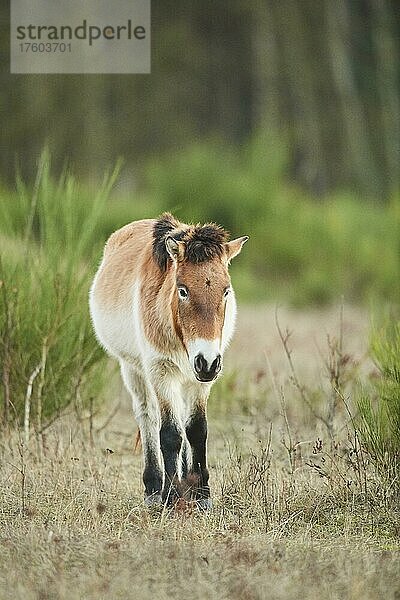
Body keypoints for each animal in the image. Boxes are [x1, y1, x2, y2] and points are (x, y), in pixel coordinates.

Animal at [89, 213, 248, 508]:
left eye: (226, 291)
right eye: (183, 290)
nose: (207, 362)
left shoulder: (201, 381)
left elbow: (196, 430)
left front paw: (201, 495)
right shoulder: (161, 372)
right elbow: (171, 434)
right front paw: (172, 496)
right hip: (135, 370)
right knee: (148, 417)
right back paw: (153, 489)